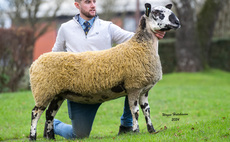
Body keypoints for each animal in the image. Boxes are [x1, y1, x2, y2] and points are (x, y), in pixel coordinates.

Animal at [28, 2, 180, 140]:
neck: (140, 47)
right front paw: (136, 131)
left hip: (57, 93)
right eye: (157, 13)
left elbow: (147, 111)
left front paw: (151, 130)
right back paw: (33, 136)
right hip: (43, 91)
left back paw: (50, 136)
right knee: (35, 113)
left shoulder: (144, 89)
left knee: (49, 114)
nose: (177, 22)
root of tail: (35, 63)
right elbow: (135, 112)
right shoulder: (134, 86)